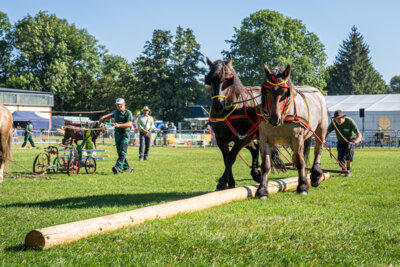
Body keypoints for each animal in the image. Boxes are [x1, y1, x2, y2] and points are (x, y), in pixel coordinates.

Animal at [205, 56, 286, 192]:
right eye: (209, 80)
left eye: (227, 80)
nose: (217, 105)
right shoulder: (221, 138)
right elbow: (226, 158)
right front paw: (230, 182)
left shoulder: (242, 137)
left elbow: (231, 158)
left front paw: (222, 182)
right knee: (254, 149)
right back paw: (256, 173)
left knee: (258, 150)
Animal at [256, 65, 328, 199]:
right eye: (266, 91)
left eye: (285, 93)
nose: (274, 119)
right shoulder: (264, 139)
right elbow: (266, 165)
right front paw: (262, 190)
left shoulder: (297, 138)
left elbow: (300, 162)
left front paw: (303, 186)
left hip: (320, 130)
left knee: (318, 150)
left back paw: (315, 175)